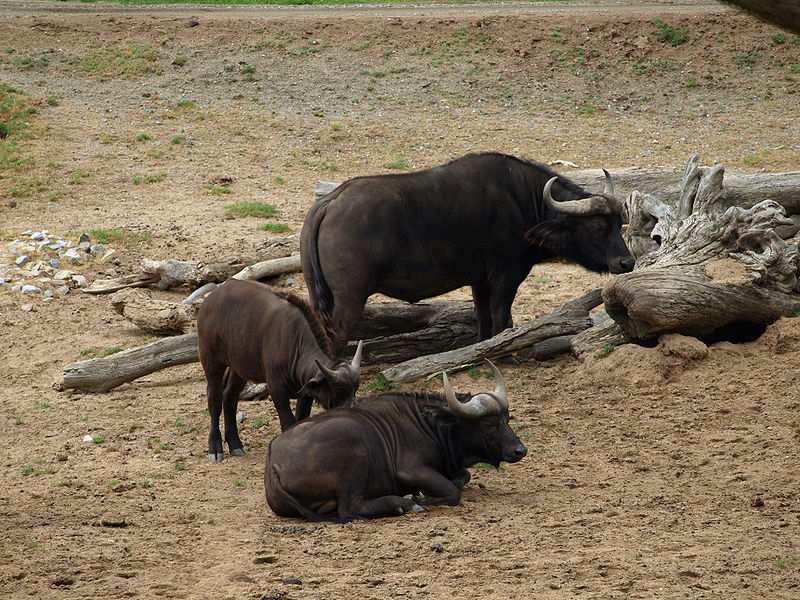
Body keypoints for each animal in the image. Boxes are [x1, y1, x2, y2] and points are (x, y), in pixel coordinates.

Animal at [196, 278, 362, 462]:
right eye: (338, 390)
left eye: (355, 389)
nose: (353, 410)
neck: (296, 343)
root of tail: (211, 299)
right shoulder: (277, 388)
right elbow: (288, 421)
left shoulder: (305, 393)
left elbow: (301, 419)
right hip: (211, 362)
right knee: (215, 400)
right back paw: (215, 448)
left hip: (239, 369)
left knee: (230, 397)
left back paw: (235, 444)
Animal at [264, 360, 524, 520]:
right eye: (489, 424)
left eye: (507, 418)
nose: (520, 450)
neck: (432, 425)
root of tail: (273, 462)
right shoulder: (411, 470)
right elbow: (452, 492)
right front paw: (419, 497)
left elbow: (464, 477)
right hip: (354, 456)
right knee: (351, 507)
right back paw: (403, 503)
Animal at [300, 150, 632, 346]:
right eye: (597, 227)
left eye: (620, 223)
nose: (626, 263)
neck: (521, 201)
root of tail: (329, 203)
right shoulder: (505, 277)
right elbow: (501, 316)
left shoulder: (479, 281)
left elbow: (483, 317)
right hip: (349, 299)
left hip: (318, 296)